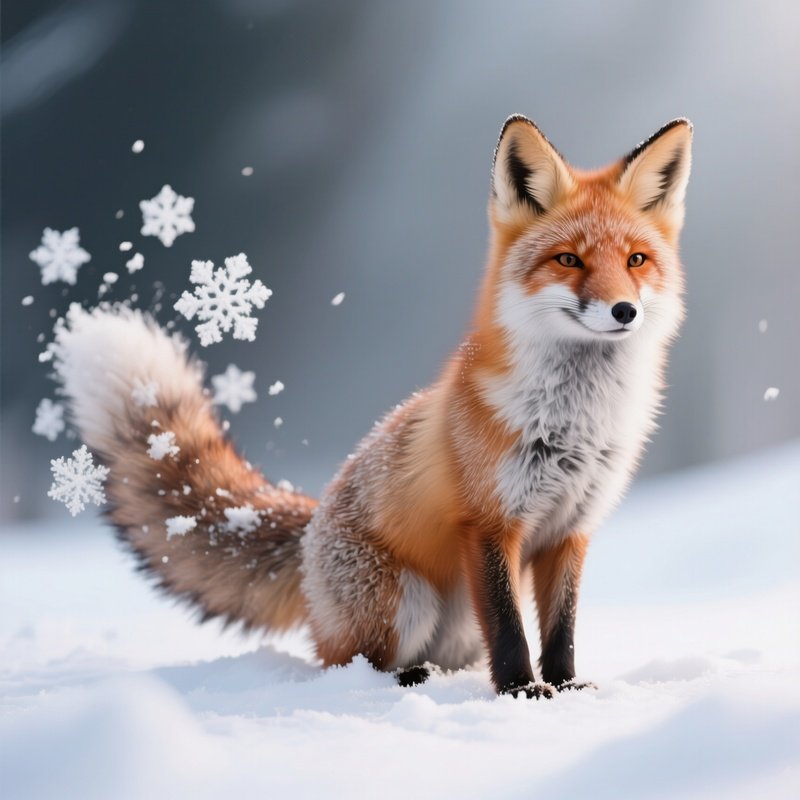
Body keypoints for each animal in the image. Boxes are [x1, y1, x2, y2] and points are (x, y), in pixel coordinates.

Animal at [52, 115, 692, 697]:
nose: (625, 311)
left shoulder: (570, 532)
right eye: (569, 260)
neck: (573, 423)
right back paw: (407, 679)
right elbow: (511, 629)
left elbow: (562, 628)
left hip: (455, 624)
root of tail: (309, 535)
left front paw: (566, 687)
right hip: (404, 601)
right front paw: (520, 692)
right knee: (347, 666)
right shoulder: (489, 523)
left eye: (635, 261)